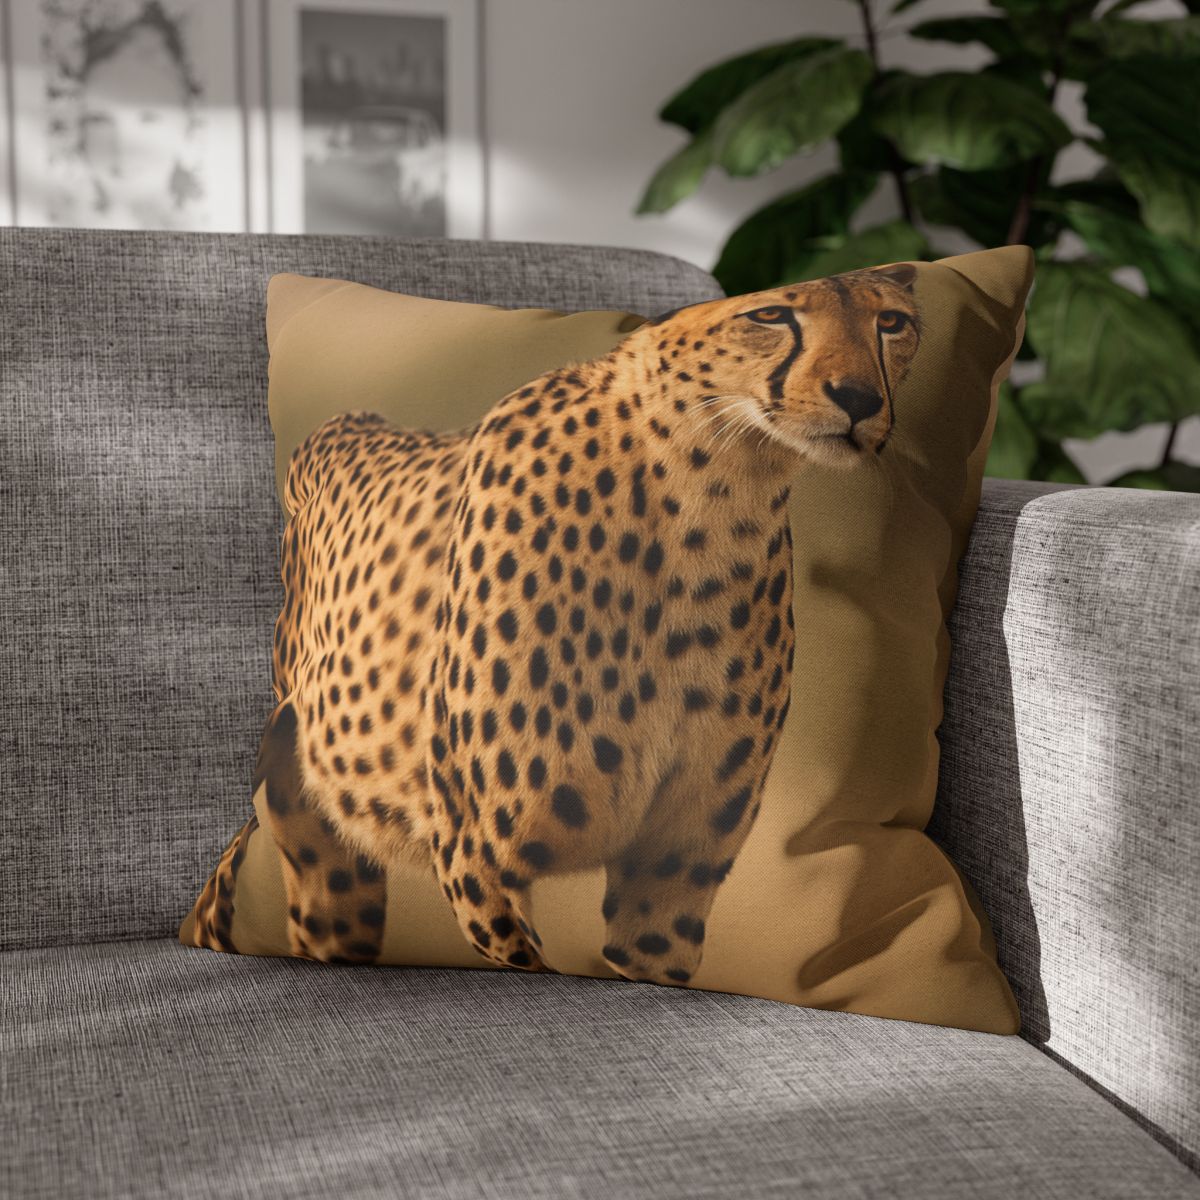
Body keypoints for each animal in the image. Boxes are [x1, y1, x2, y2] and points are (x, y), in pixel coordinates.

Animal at [187, 263, 921, 987]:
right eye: (768, 314)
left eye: (892, 321)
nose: (859, 398)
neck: (709, 501)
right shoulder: (476, 853)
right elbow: (524, 950)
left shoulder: (671, 870)